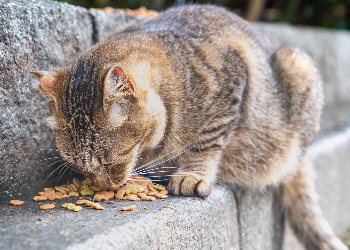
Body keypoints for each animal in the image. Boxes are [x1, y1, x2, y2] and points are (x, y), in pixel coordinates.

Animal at [30, 4, 348, 250]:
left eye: (112, 161)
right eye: (78, 166)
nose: (102, 185)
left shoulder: (229, 84)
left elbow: (206, 140)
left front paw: (191, 175)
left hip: (298, 65)